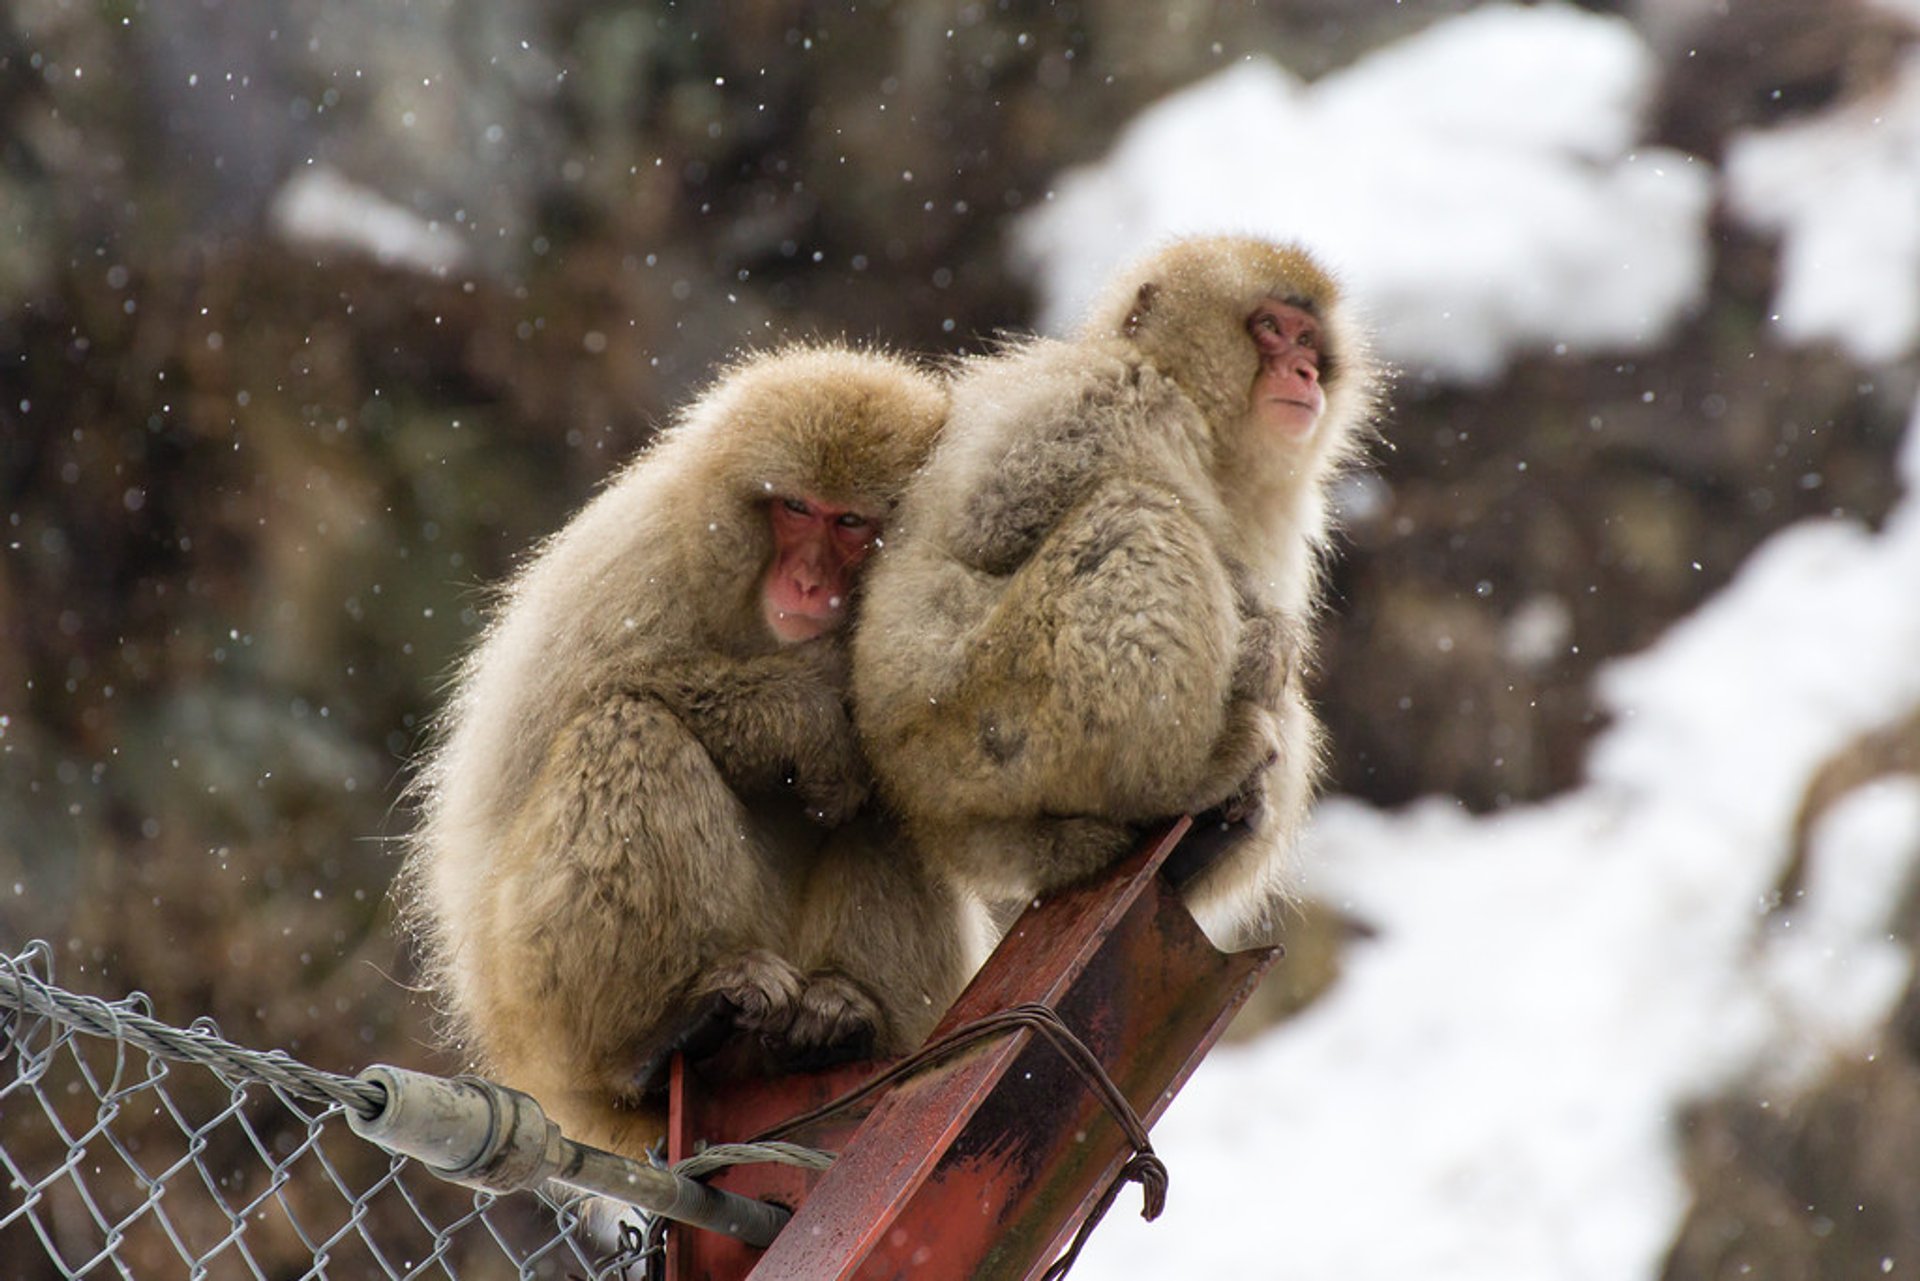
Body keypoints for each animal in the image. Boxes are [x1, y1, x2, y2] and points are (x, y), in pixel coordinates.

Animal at [397, 343, 983, 1160]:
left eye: (850, 522)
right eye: (794, 508)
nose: (808, 583)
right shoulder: (641, 566)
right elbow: (587, 696)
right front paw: (809, 720)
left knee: (888, 797)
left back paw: (841, 1013)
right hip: (535, 1003)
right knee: (626, 728)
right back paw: (664, 1028)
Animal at [856, 235, 1382, 948]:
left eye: (1307, 338)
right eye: (1270, 328)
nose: (1302, 372)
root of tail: (937, 823)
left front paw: (1270, 638)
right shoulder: (1108, 392)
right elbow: (999, 516)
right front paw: (1266, 634)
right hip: (989, 723)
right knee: (1135, 514)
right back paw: (1179, 781)